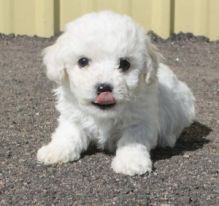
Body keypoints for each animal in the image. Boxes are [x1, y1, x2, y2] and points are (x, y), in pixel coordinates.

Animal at [37, 10, 195, 175]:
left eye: (124, 64)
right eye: (83, 61)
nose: (103, 88)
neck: (104, 115)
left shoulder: (141, 120)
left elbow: (132, 140)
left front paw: (131, 162)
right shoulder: (73, 116)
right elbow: (67, 134)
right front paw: (55, 150)